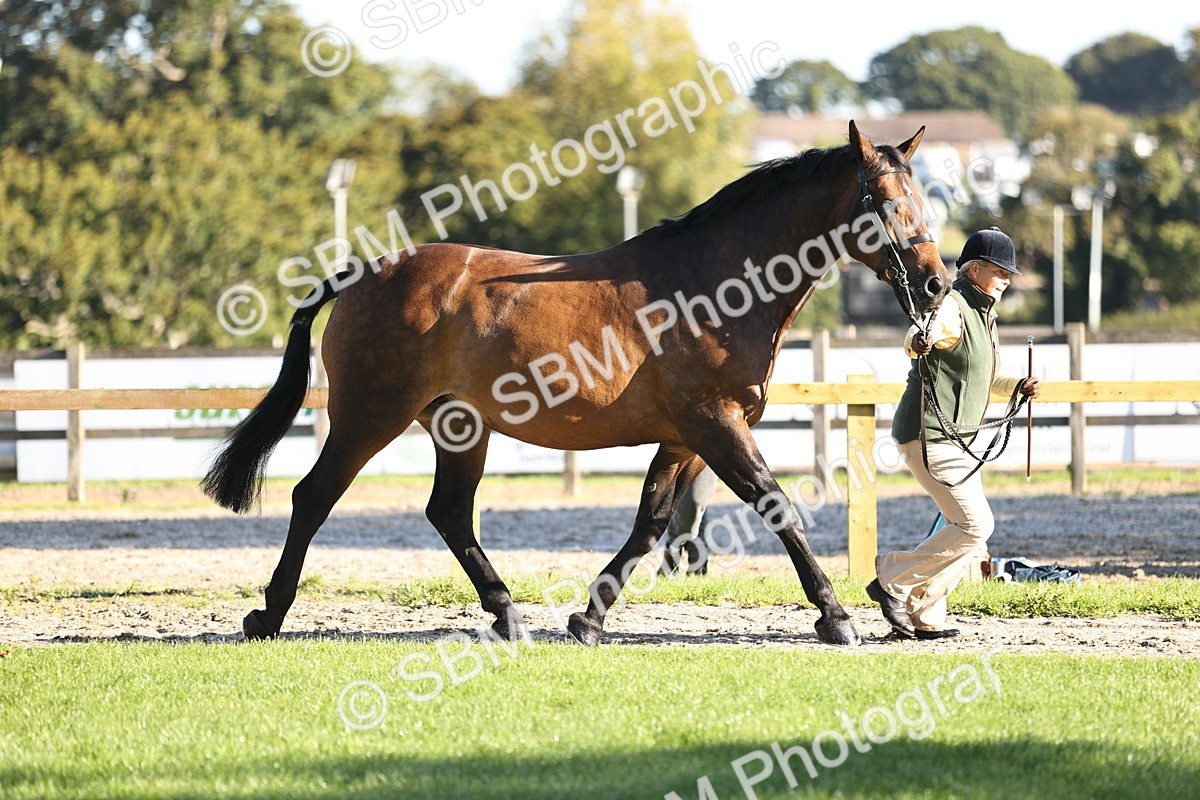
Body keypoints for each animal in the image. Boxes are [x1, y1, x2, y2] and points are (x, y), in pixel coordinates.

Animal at [202, 120, 949, 647]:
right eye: (883, 202)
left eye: (922, 200)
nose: (936, 284)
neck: (716, 284)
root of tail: (364, 272)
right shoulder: (715, 423)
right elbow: (777, 507)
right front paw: (835, 616)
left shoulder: (686, 438)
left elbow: (650, 525)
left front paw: (589, 619)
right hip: (370, 414)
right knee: (314, 495)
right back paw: (268, 614)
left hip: (458, 426)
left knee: (449, 512)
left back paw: (507, 614)